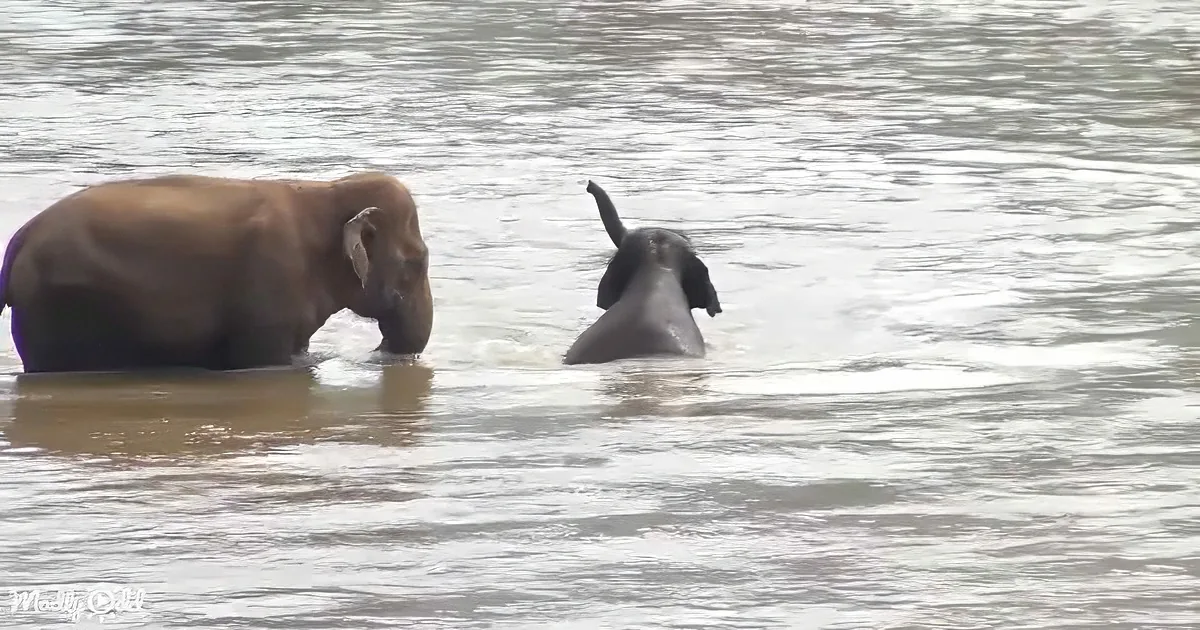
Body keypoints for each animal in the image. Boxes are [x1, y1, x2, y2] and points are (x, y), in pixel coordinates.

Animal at [0, 171, 433, 373]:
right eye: (416, 263)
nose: (382, 351)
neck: (327, 191)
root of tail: (19, 238)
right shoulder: (271, 286)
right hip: (51, 310)